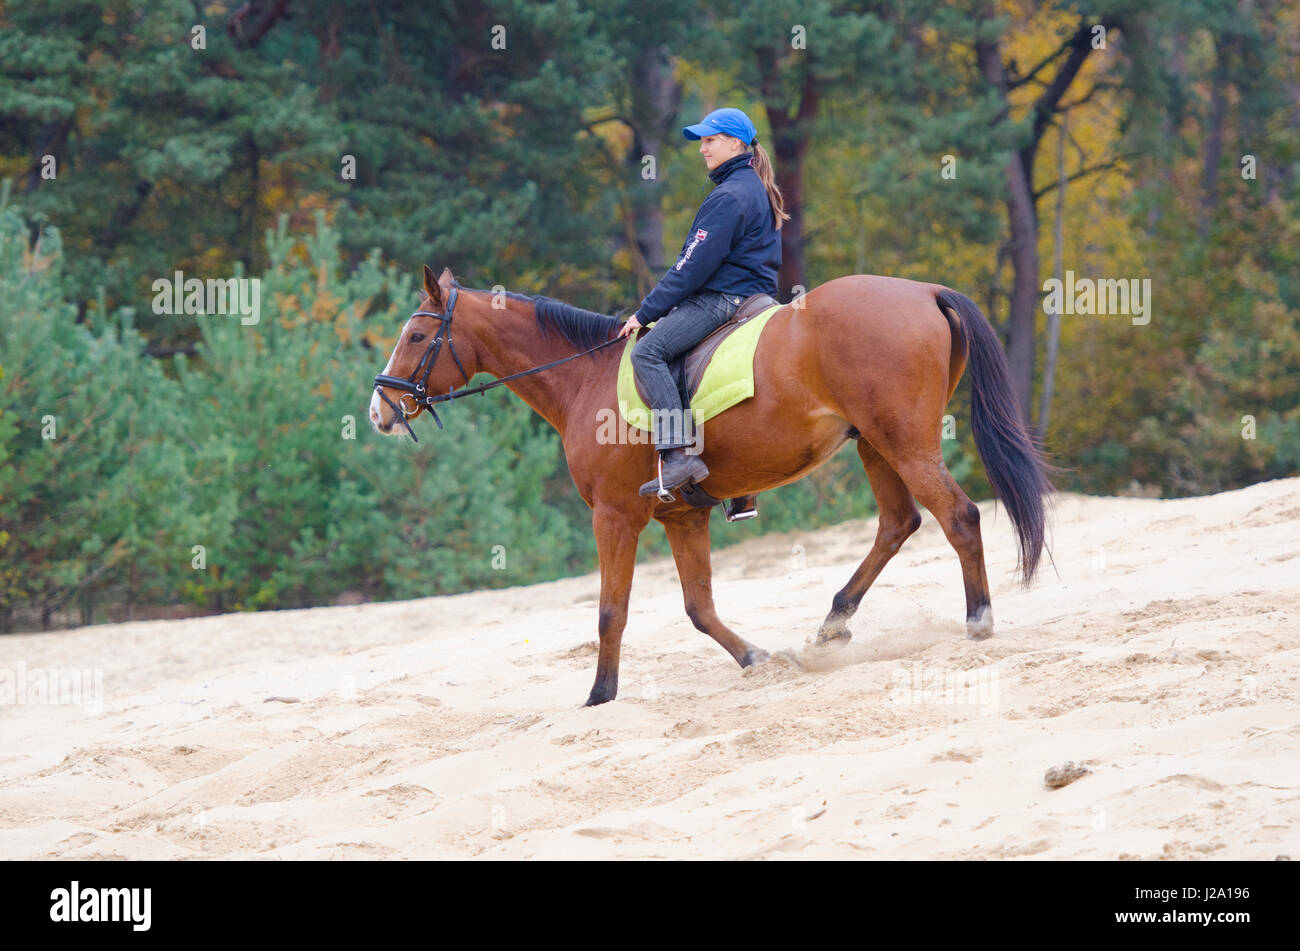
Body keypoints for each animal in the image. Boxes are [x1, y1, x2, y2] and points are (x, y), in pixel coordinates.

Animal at [371, 265, 1050, 706]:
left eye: (415, 336)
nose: (379, 409)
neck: (585, 377)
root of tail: (926, 291)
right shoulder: (683, 516)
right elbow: (699, 608)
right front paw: (755, 659)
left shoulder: (614, 516)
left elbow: (611, 612)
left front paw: (600, 696)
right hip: (876, 445)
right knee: (897, 523)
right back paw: (834, 623)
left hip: (904, 442)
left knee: (958, 516)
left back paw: (978, 619)